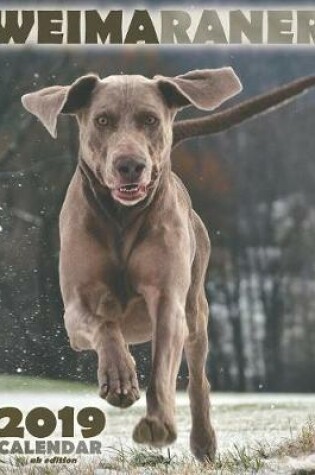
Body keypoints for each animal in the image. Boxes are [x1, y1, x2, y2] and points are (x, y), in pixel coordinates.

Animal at [22, 69, 243, 462]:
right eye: (102, 120)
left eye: (150, 120)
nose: (130, 165)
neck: (121, 218)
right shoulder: (75, 308)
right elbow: (104, 324)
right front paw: (120, 376)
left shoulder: (169, 300)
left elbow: (163, 369)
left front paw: (158, 423)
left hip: (196, 307)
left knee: (198, 377)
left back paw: (203, 441)